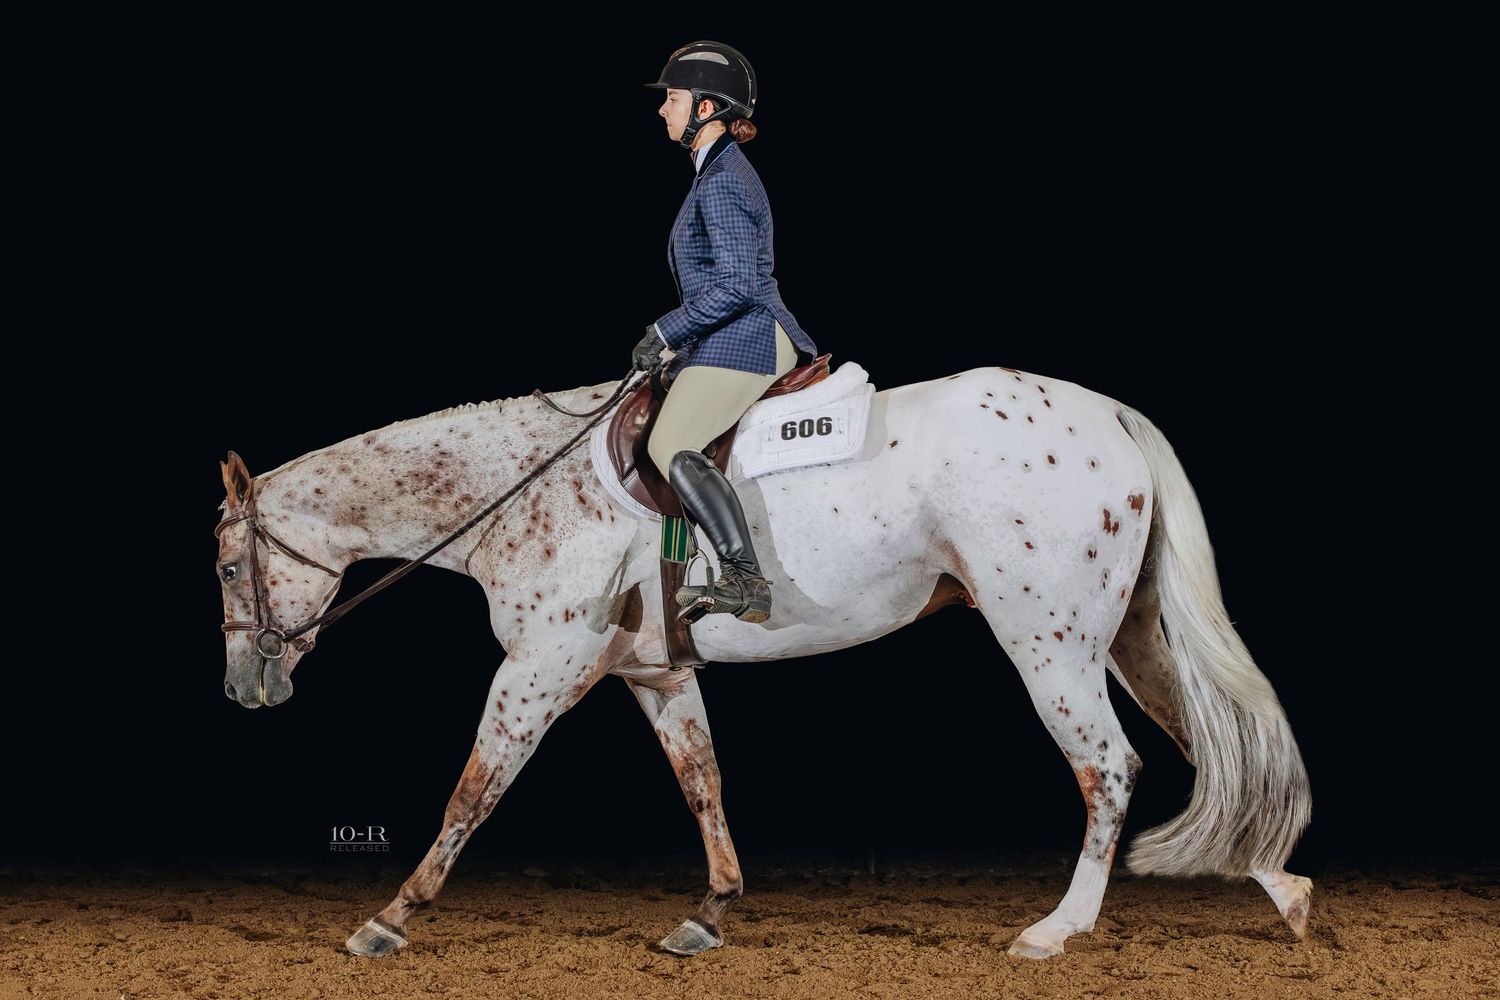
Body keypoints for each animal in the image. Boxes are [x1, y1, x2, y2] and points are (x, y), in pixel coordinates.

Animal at [213, 363, 1312, 961]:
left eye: (227, 565)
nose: (245, 688)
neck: (521, 488)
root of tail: (1106, 411)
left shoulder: (540, 666)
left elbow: (472, 790)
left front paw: (389, 917)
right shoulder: (655, 673)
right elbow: (703, 782)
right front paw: (711, 911)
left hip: (1048, 639)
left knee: (1109, 766)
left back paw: (1058, 929)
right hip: (1122, 634)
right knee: (1208, 748)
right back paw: (1285, 892)